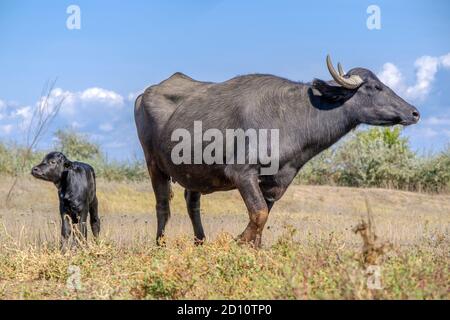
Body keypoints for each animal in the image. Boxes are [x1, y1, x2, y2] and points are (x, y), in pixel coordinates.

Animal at [134, 55, 418, 246]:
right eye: (374, 87)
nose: (414, 112)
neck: (293, 116)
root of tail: (144, 94)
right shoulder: (242, 172)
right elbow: (258, 214)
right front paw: (237, 241)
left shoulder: (277, 182)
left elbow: (263, 217)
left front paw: (253, 249)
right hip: (154, 164)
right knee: (163, 205)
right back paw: (160, 245)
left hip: (194, 172)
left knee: (192, 203)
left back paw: (200, 243)